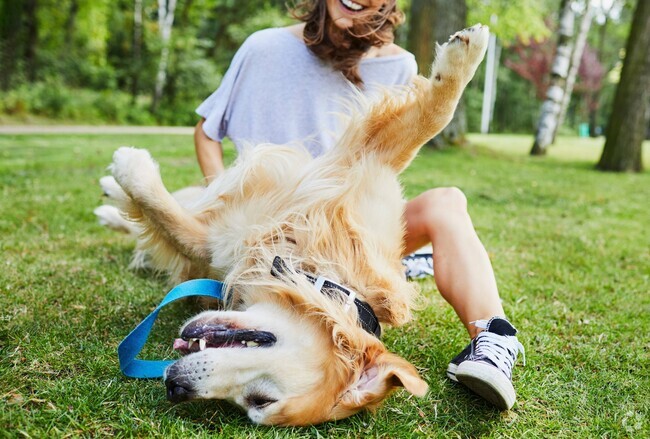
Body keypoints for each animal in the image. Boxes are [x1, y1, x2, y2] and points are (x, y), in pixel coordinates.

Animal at [97, 24, 486, 426]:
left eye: (257, 401)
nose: (176, 386)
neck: (313, 266)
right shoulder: (363, 165)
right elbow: (431, 119)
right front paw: (465, 55)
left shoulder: (212, 246)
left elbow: (169, 222)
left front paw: (131, 169)